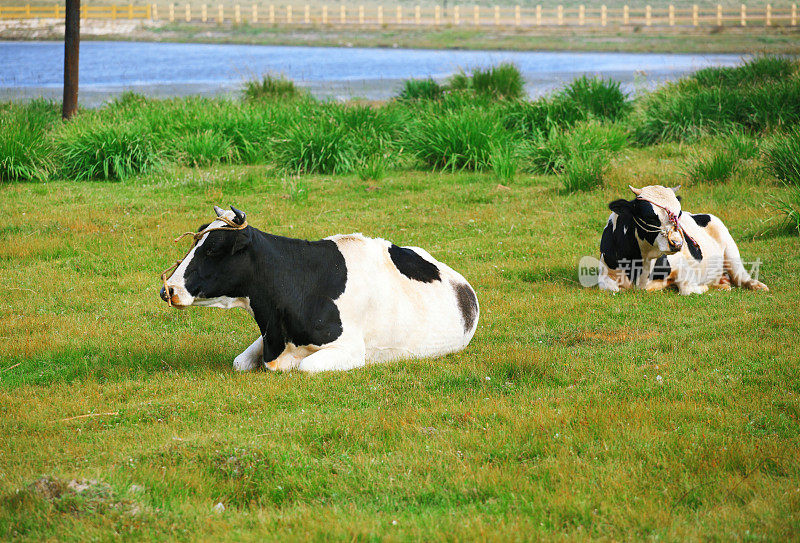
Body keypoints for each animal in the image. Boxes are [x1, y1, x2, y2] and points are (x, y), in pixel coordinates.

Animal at [159, 206, 478, 372]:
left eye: (213, 248)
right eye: (195, 241)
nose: (167, 289)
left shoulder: (351, 349)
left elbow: (305, 367)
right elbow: (239, 362)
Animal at [600, 186, 768, 298]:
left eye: (678, 213)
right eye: (650, 217)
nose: (677, 244)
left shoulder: (684, 268)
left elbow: (687, 289)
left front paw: (703, 287)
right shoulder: (605, 275)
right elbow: (611, 288)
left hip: (731, 250)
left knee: (741, 276)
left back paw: (757, 286)